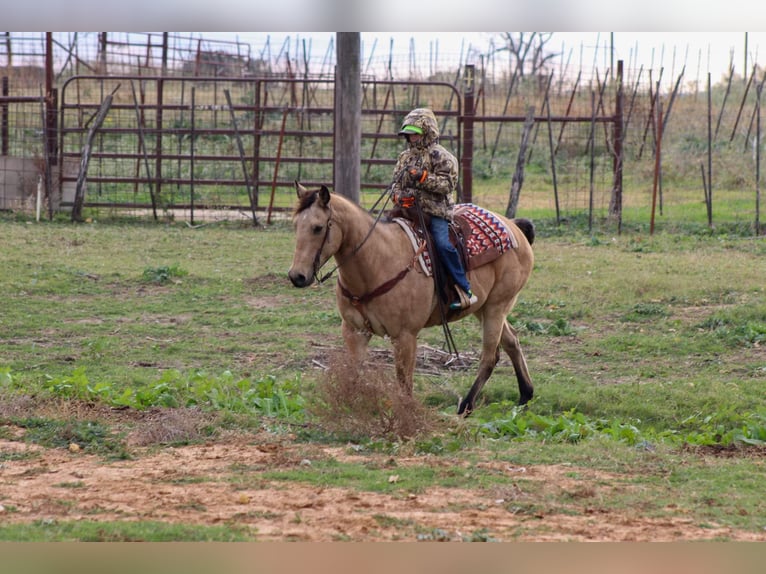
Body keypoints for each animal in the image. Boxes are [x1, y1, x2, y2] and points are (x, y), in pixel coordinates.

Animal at [287, 182, 536, 415]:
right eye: (295, 225)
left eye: (318, 228)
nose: (296, 276)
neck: (377, 262)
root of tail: (513, 226)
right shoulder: (354, 332)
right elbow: (355, 373)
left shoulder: (405, 336)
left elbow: (404, 382)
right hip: (483, 308)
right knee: (512, 341)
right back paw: (525, 395)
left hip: (497, 306)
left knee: (490, 357)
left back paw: (466, 406)